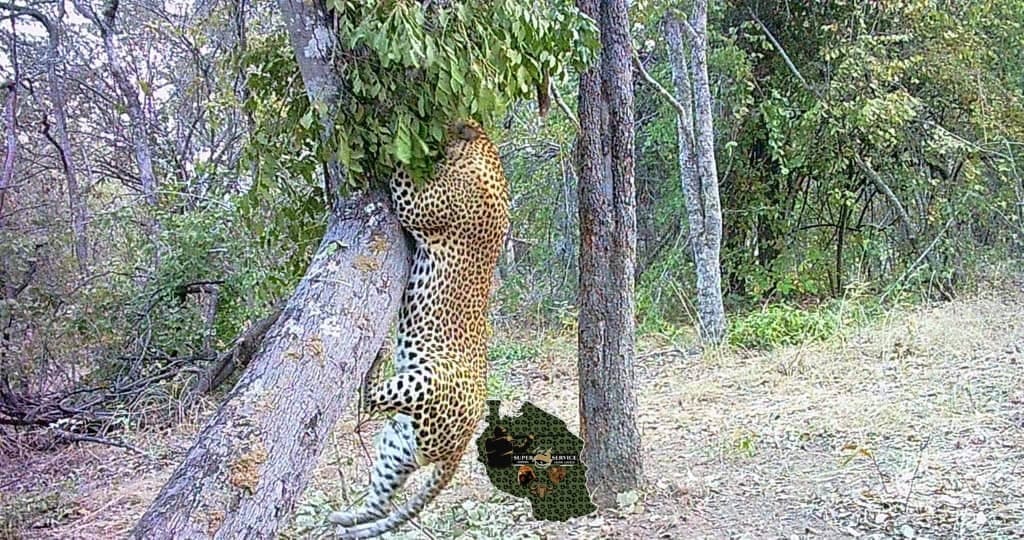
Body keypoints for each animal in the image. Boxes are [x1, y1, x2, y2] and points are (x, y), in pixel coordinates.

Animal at [329, 119, 509, 539]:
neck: (484, 153)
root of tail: (462, 445)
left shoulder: (420, 205)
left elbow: (404, 181)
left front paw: (392, 140)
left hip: (426, 382)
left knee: (371, 400)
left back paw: (374, 363)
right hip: (398, 445)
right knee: (381, 502)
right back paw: (344, 521)